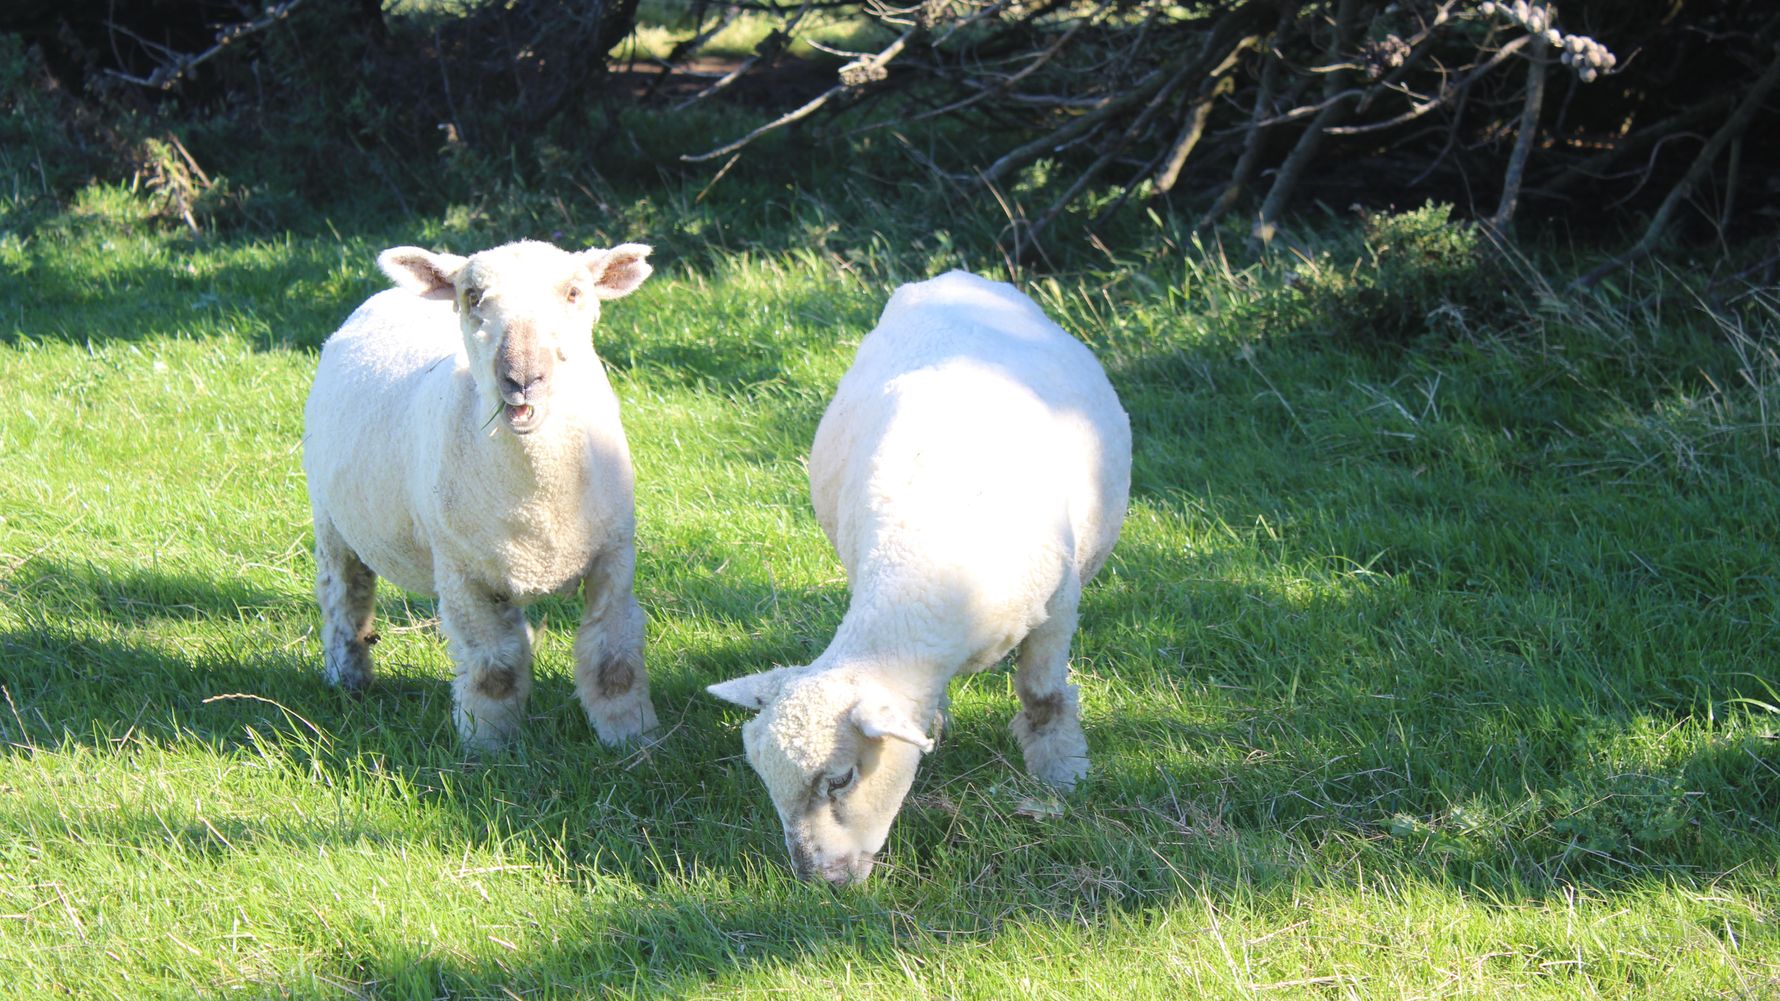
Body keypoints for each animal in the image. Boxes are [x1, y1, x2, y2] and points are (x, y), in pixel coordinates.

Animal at [302, 239, 660, 751]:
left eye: (574, 292)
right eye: (472, 296)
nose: (521, 378)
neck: (537, 501)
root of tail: (390, 294)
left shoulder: (613, 555)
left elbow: (612, 662)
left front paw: (632, 740)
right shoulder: (461, 571)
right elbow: (495, 669)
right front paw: (487, 748)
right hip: (330, 519)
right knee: (344, 595)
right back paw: (347, 678)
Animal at [708, 270, 1131, 885]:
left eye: (841, 778)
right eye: (766, 782)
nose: (818, 882)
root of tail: (953, 277)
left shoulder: (1060, 605)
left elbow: (1043, 697)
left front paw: (1060, 776)